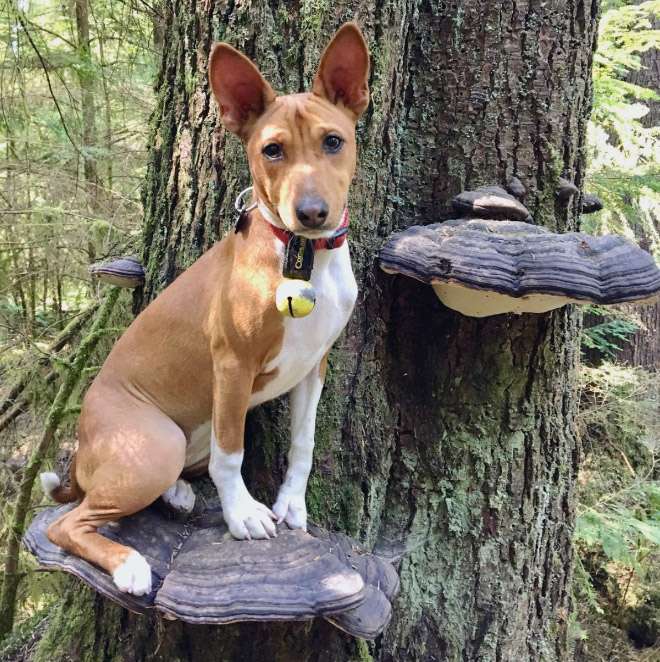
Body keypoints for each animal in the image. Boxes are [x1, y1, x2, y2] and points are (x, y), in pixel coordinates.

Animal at [40, 23, 372, 600]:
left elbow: (303, 443)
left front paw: (291, 504)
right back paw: (129, 564)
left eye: (334, 141)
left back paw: (177, 494)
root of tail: (82, 448)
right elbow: (231, 454)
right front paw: (243, 516)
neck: (304, 257)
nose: (311, 213)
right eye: (272, 150)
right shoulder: (232, 366)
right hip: (155, 446)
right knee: (68, 525)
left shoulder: (316, 365)